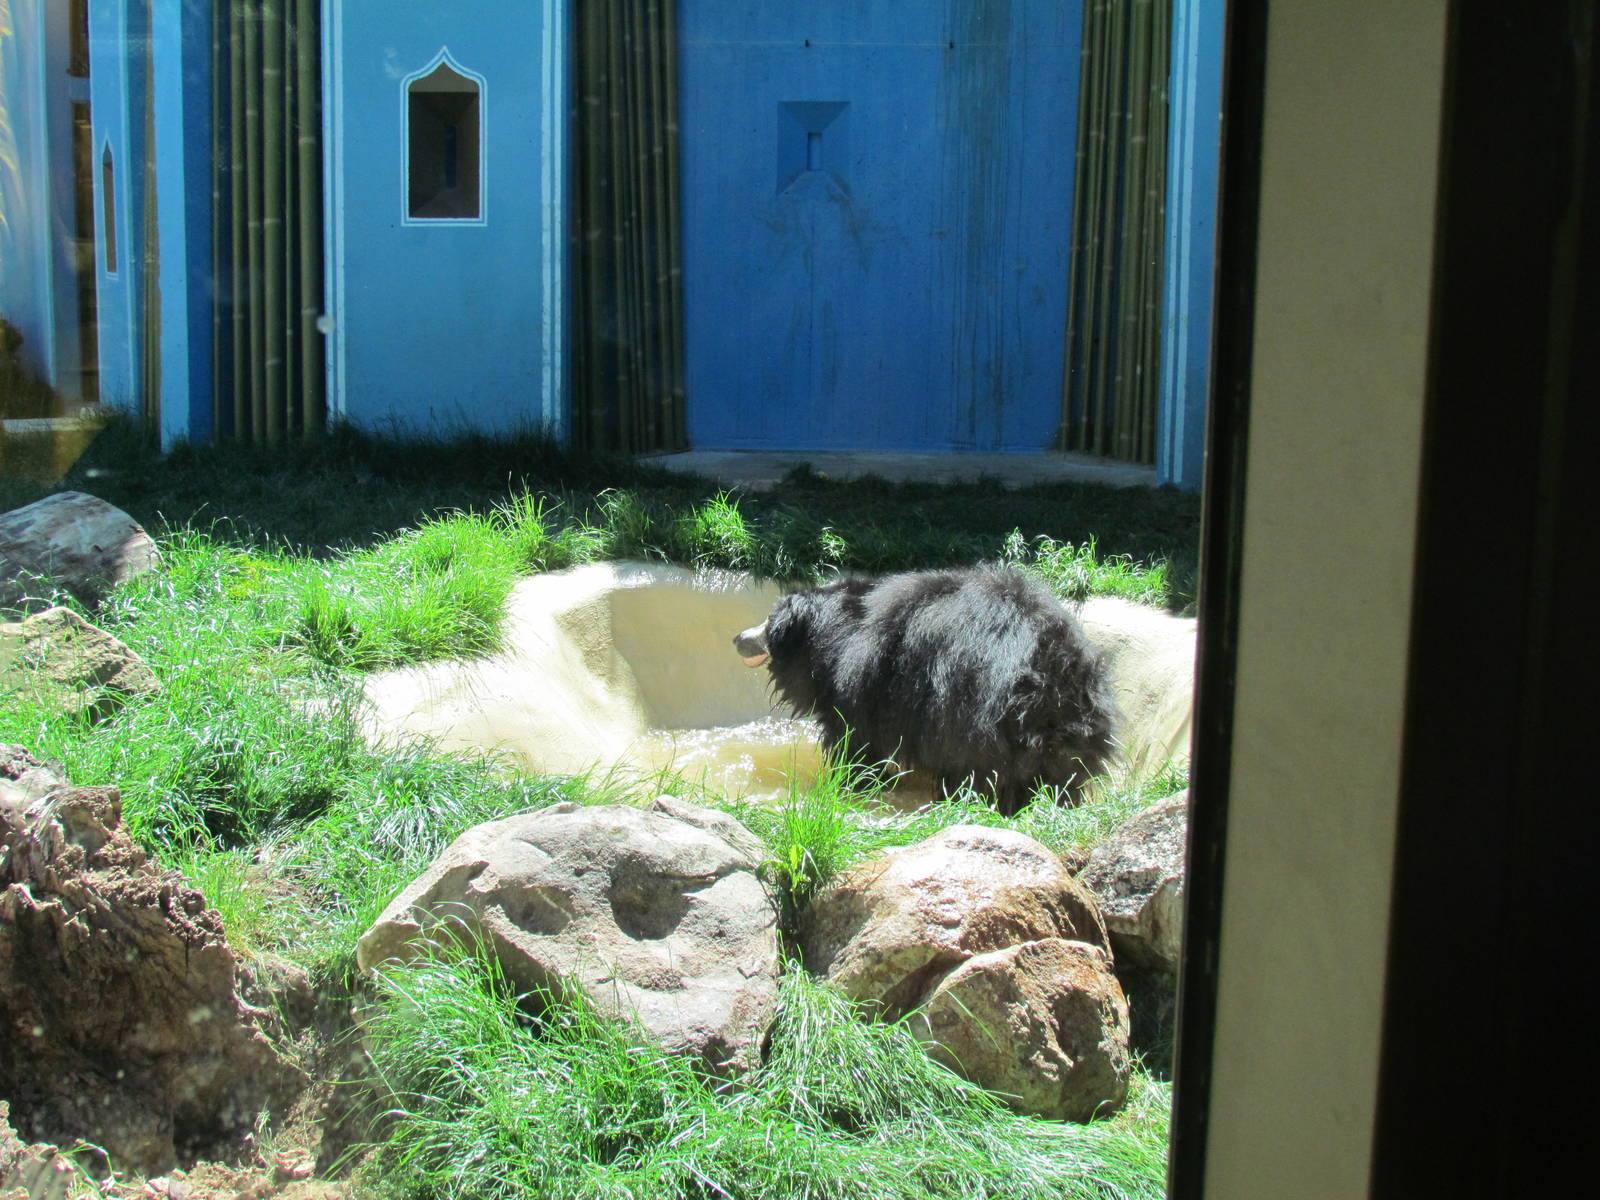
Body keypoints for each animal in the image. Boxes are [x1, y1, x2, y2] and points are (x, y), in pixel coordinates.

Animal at [733, 566, 1117, 815]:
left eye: (768, 623)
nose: (737, 638)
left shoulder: (866, 688)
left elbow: (858, 745)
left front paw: (856, 785)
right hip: (1078, 736)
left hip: (972, 716)